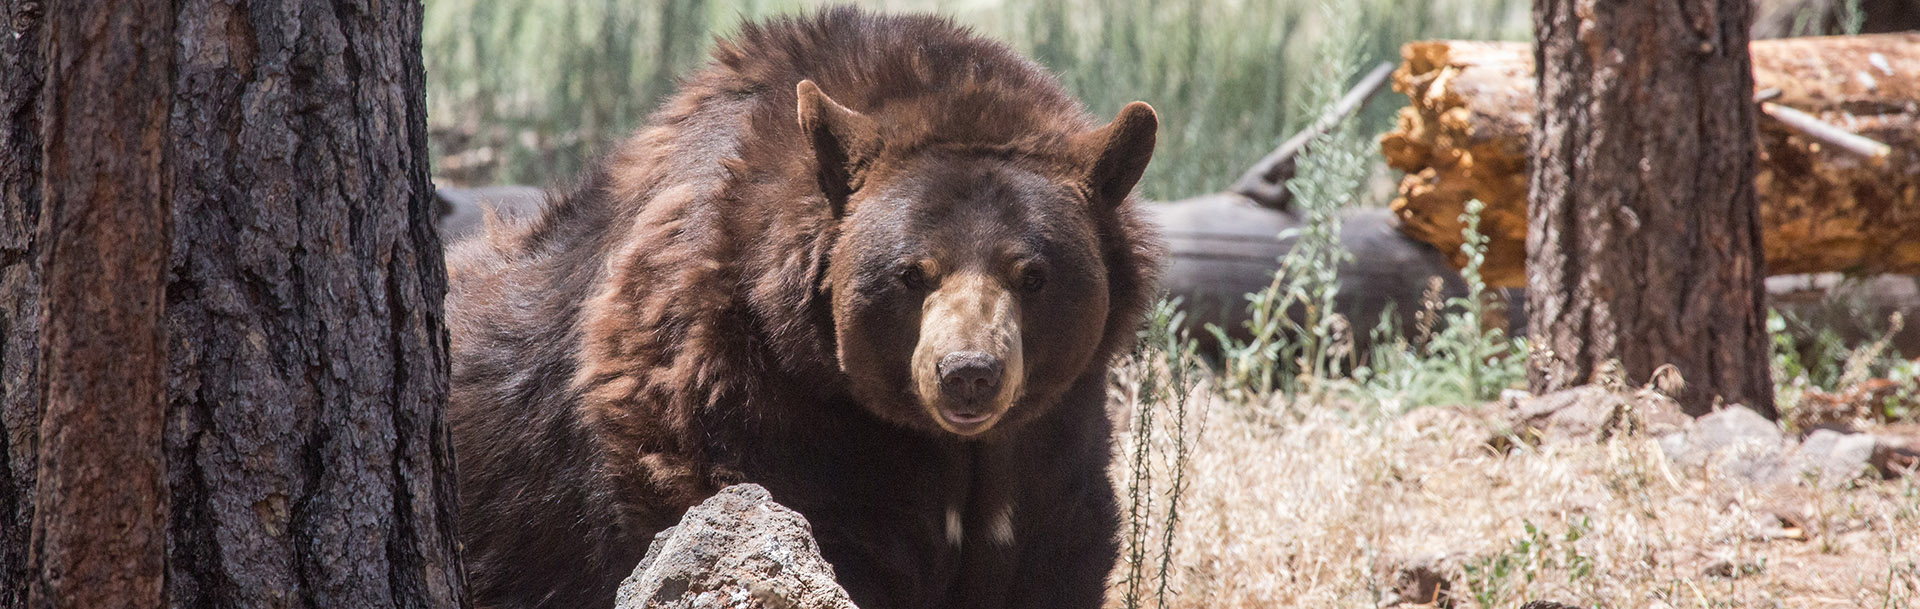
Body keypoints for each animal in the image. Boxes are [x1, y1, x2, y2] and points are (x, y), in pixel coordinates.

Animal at [447, 8, 1159, 607]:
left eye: (1032, 275)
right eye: (910, 273)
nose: (968, 372)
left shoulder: (1055, 434)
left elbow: (1054, 549)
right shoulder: (742, 399)